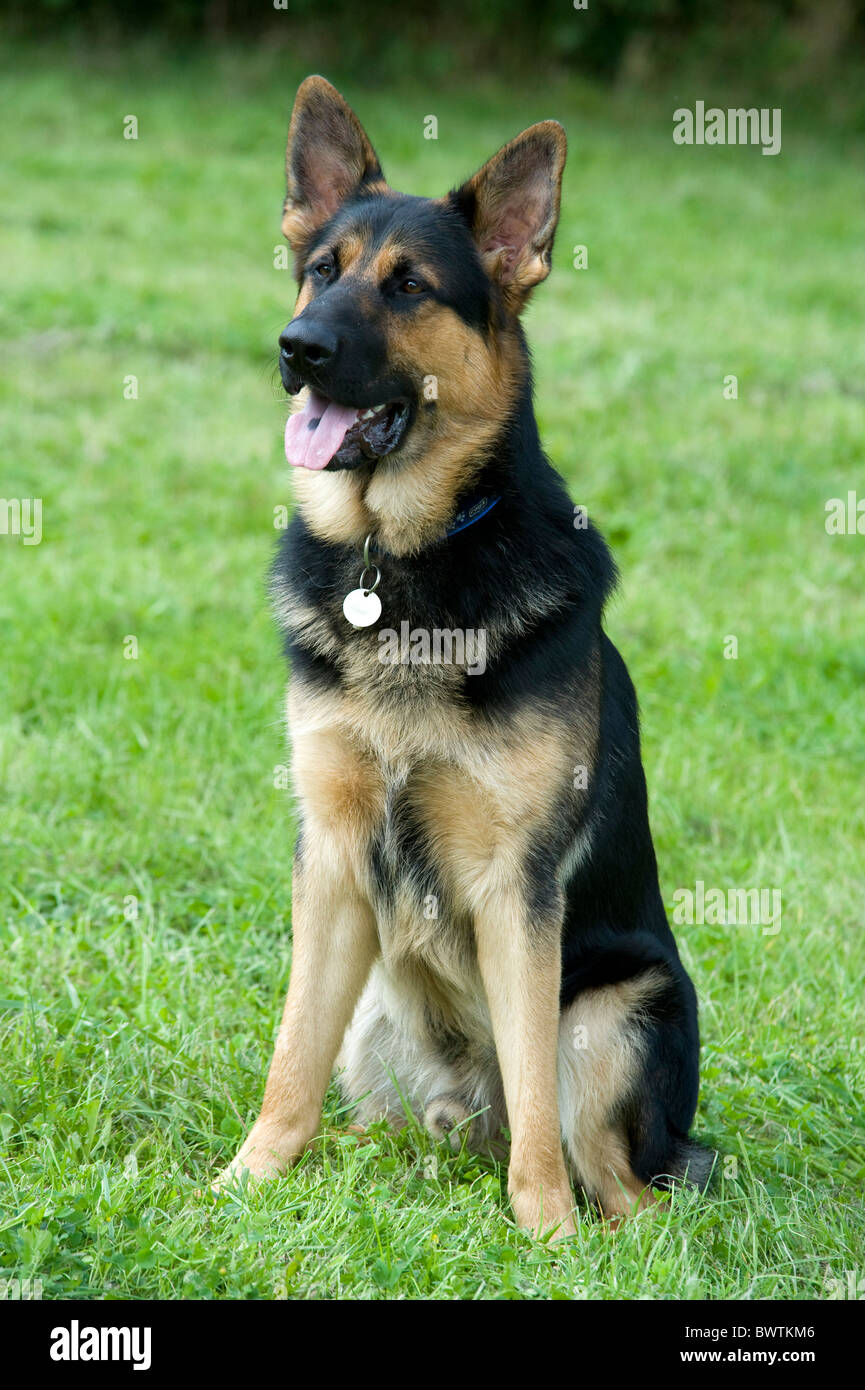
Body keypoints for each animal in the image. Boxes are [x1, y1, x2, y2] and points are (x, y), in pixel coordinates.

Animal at [219, 76, 717, 1234]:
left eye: (409, 289)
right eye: (323, 270)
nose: (296, 346)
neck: (401, 558)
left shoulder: (515, 892)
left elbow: (534, 1090)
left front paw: (543, 1233)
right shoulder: (332, 862)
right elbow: (287, 1060)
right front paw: (244, 1184)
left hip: (613, 1018)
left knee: (612, 1173)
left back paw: (596, 1221)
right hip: (375, 1005)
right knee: (380, 1115)